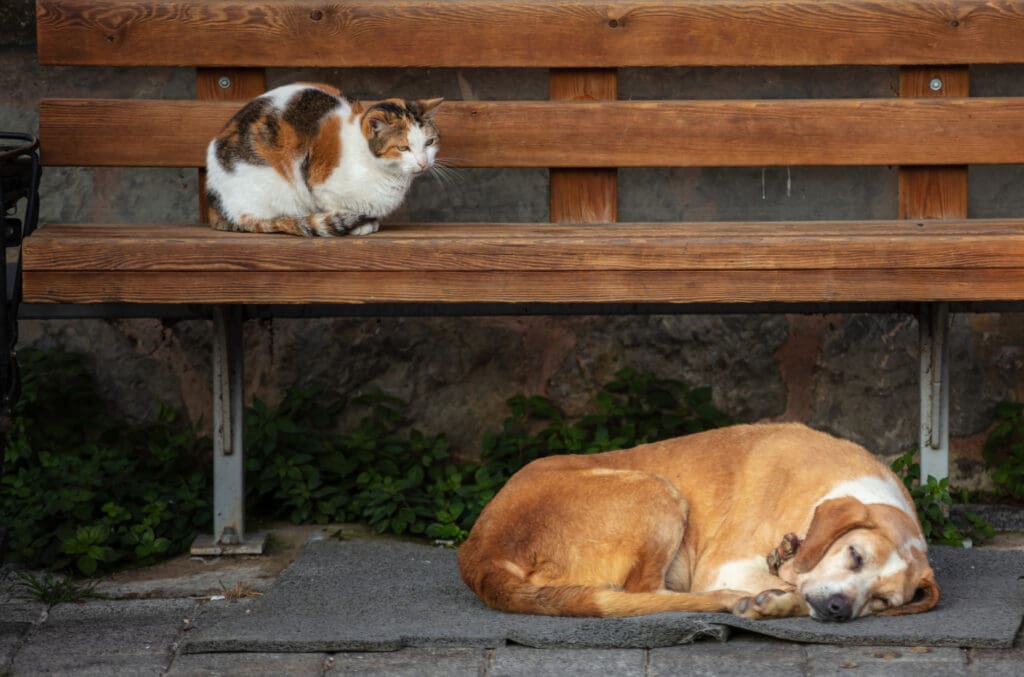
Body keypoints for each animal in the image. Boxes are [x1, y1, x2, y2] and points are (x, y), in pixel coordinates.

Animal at [205, 81, 442, 236]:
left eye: (429, 143)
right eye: (403, 147)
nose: (423, 162)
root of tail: (216, 207)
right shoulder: (320, 188)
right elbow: (332, 207)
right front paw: (359, 226)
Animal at [460, 426, 937, 618]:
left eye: (884, 601)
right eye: (854, 554)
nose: (839, 610)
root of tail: (481, 554)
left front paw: (778, 602)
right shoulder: (727, 567)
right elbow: (791, 588)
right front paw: (776, 601)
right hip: (659, 491)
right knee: (647, 593)